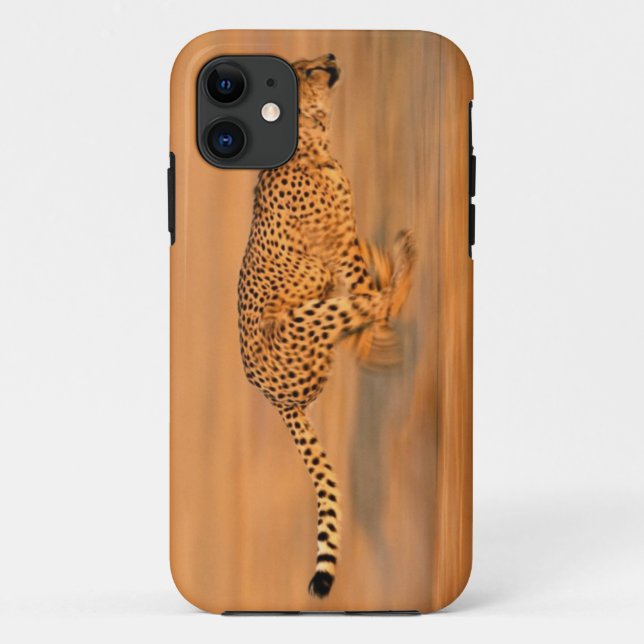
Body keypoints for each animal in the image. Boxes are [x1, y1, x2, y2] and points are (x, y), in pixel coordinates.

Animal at [237, 53, 415, 599]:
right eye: (307, 69)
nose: (333, 58)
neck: (311, 143)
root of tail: (274, 400)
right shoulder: (338, 248)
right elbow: (362, 288)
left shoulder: (344, 247)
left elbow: (363, 283)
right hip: (297, 324)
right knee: (363, 307)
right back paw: (403, 269)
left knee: (359, 315)